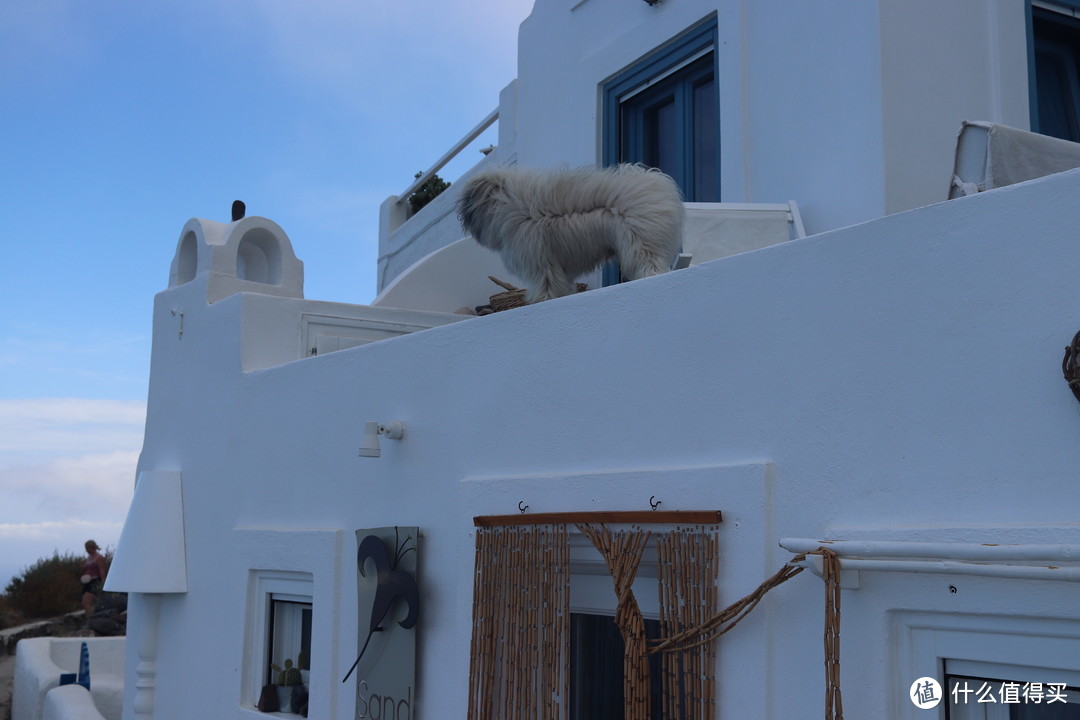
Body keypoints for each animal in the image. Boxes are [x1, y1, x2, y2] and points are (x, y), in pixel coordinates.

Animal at [455, 165, 682, 302]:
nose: (461, 217)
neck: (507, 206)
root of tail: (654, 180)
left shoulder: (541, 265)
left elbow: (546, 285)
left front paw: (541, 300)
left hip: (640, 240)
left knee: (650, 263)